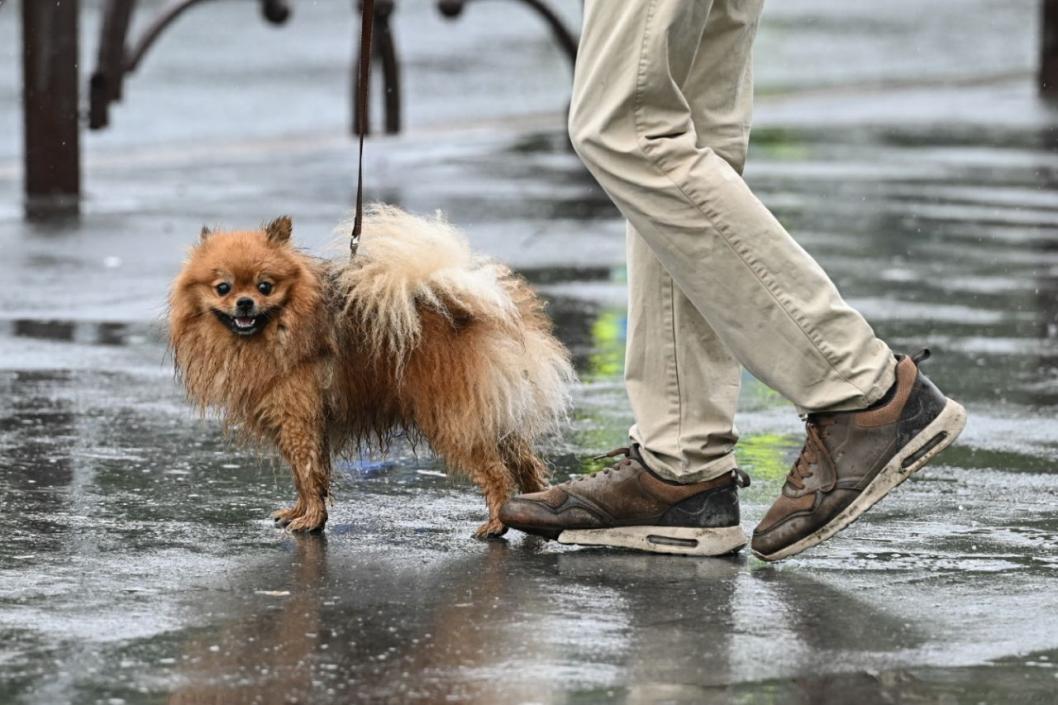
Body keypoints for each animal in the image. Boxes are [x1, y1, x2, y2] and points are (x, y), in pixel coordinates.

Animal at [169, 206, 575, 535]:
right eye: (223, 287)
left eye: (265, 286)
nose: (244, 303)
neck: (278, 328)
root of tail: (466, 312)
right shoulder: (296, 422)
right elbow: (303, 476)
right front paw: (300, 511)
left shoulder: (299, 419)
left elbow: (309, 472)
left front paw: (311, 520)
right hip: (492, 413)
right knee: (525, 462)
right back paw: (532, 507)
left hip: (453, 419)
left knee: (496, 471)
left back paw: (496, 523)